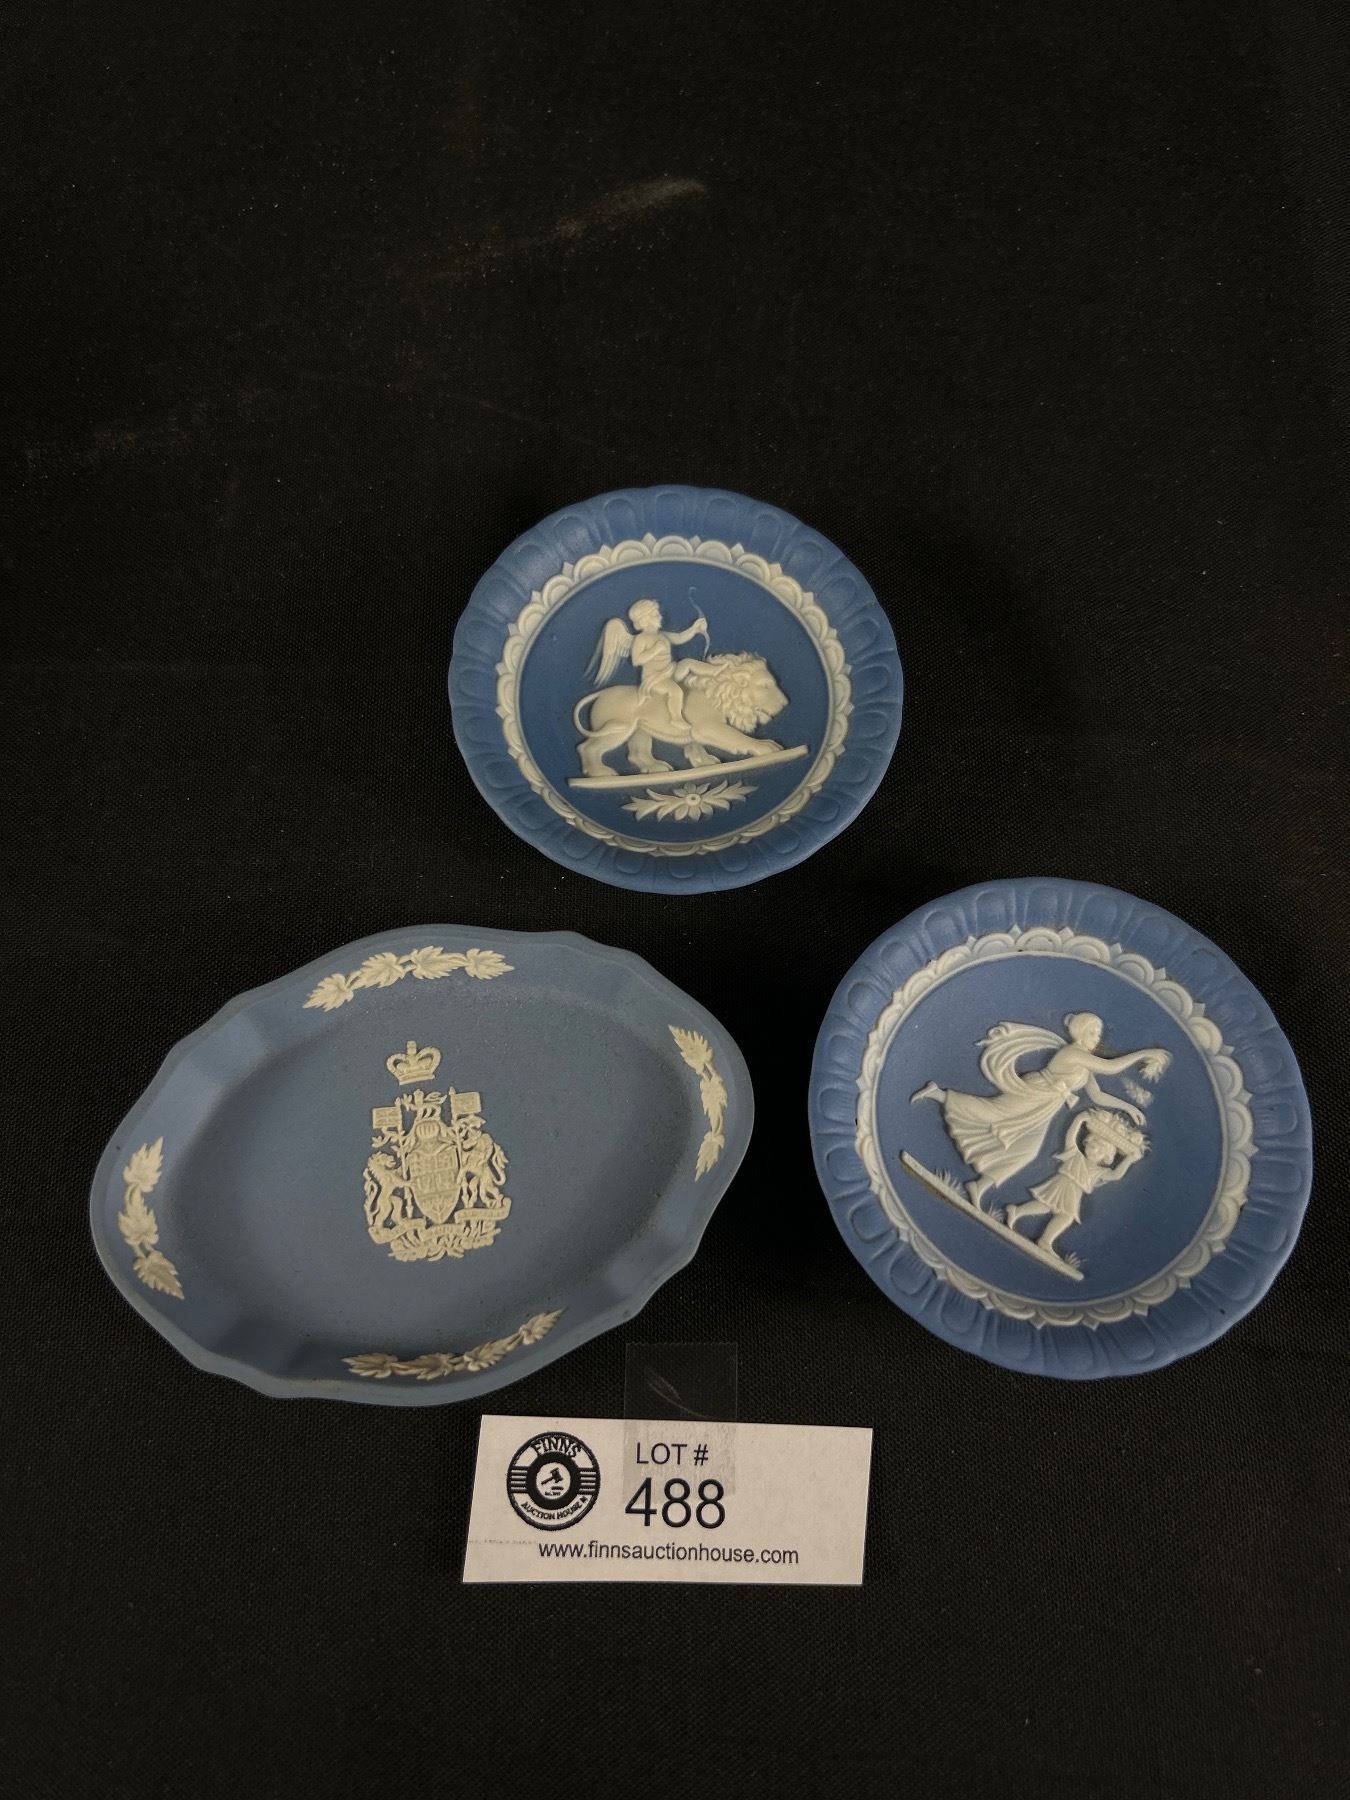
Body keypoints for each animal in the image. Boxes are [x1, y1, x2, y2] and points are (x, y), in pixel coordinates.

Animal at [572, 651, 790, 779]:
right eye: (765, 686)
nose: (785, 703)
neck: (718, 693)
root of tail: (601, 694)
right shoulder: (709, 727)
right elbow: (739, 738)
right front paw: (765, 747)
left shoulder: (696, 732)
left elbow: (695, 746)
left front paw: (704, 762)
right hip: (616, 729)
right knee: (587, 747)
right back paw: (601, 774)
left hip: (639, 731)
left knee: (637, 753)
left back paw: (656, 767)